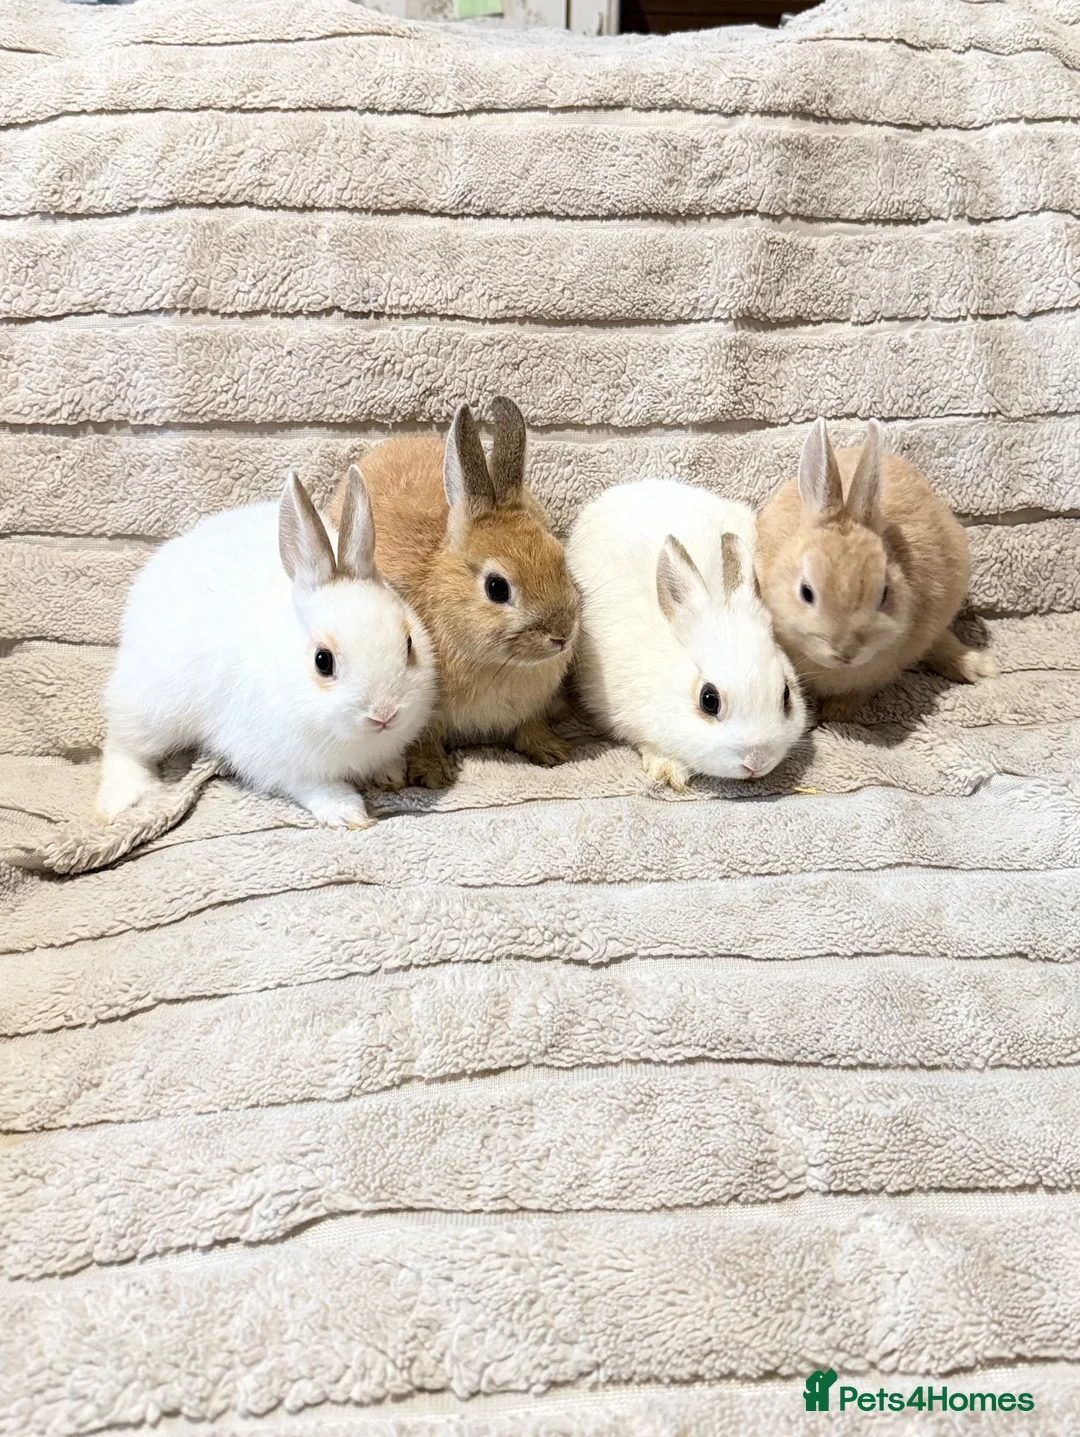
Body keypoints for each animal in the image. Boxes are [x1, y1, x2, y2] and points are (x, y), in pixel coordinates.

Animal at [96, 467, 436, 829]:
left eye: (409, 644)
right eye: (322, 661)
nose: (384, 714)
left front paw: (391, 775)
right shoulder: (277, 761)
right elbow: (316, 787)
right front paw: (347, 813)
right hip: (154, 706)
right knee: (123, 744)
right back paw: (124, 799)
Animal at [327, 397, 579, 789]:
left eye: (561, 560)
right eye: (497, 587)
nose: (562, 635)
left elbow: (530, 727)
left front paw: (554, 752)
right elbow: (423, 738)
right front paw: (432, 773)